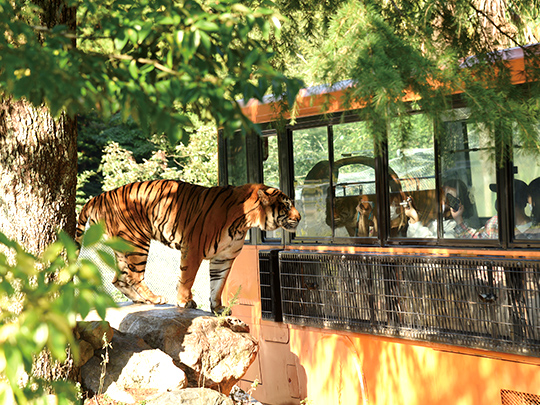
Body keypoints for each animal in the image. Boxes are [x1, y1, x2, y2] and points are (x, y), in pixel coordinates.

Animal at [76, 180, 302, 312]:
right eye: (287, 205)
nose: (299, 218)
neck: (245, 221)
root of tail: (100, 196)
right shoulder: (193, 248)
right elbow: (187, 278)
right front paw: (185, 301)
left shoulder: (224, 257)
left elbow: (218, 284)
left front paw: (218, 308)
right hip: (137, 242)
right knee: (133, 276)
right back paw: (155, 298)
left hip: (123, 247)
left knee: (119, 279)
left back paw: (143, 301)